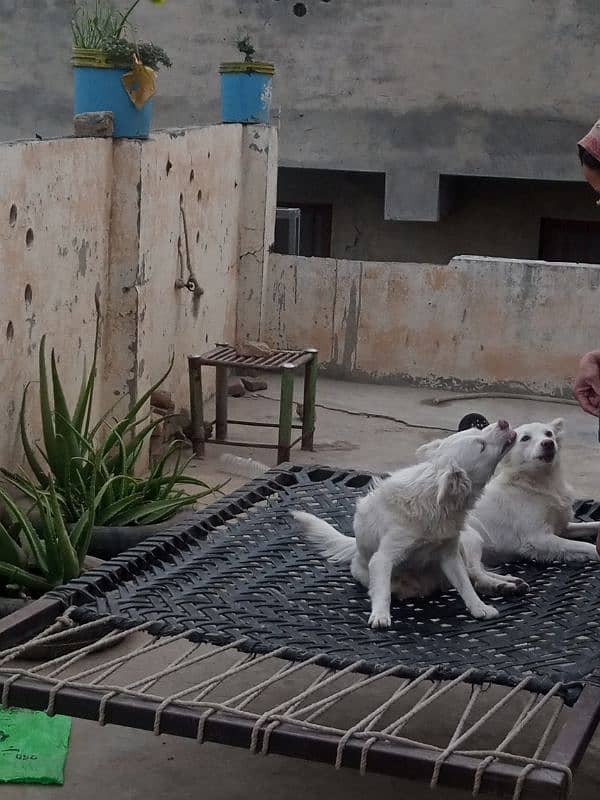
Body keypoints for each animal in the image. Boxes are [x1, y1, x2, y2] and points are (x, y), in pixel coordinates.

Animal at [462, 416, 596, 564]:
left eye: (549, 434)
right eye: (525, 438)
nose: (548, 443)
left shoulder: (562, 528)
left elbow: (591, 525)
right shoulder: (537, 538)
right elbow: (588, 546)